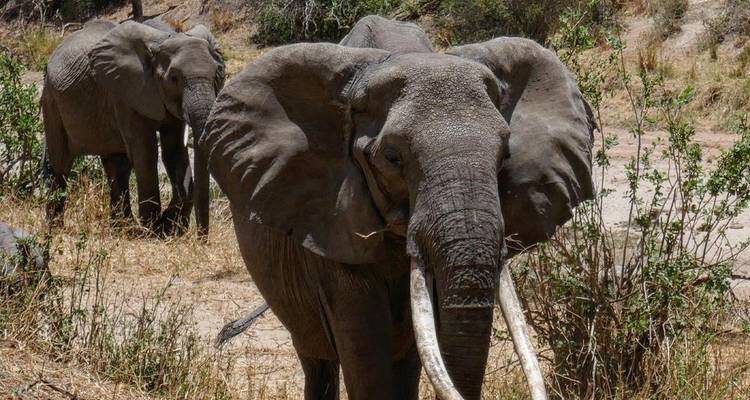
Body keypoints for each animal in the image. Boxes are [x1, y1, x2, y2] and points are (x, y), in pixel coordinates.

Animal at [41, 19, 225, 237]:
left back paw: (122, 228)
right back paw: (54, 229)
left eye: (216, 74)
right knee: (61, 163)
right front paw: (152, 230)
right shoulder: (125, 93)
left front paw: (168, 228)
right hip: (51, 100)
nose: (201, 237)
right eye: (174, 78)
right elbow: (145, 152)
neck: (164, 39)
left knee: (117, 166)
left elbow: (173, 151)